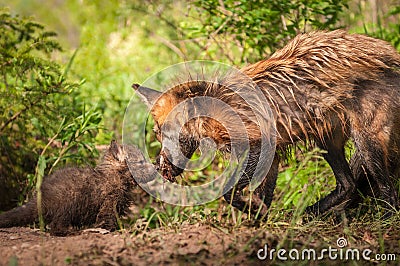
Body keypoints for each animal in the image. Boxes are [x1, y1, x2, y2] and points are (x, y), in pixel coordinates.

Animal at [134, 30, 400, 216]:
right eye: (158, 133)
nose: (160, 168)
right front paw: (260, 222)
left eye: (167, 132)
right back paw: (310, 214)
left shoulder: (258, 145)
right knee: (348, 185)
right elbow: (263, 197)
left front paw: (252, 211)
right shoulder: (269, 157)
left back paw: (385, 220)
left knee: (388, 192)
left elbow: (229, 192)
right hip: (326, 141)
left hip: (366, 142)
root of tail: (390, 53)